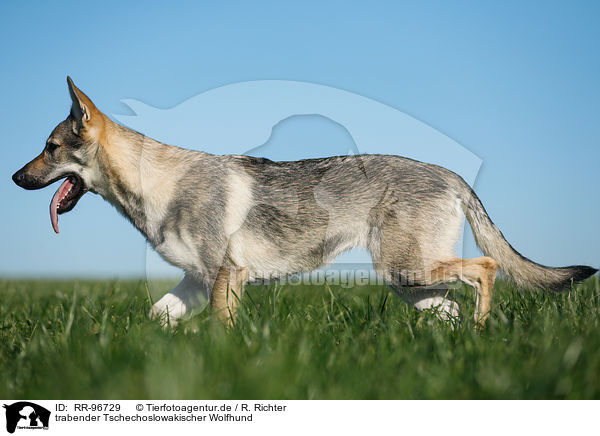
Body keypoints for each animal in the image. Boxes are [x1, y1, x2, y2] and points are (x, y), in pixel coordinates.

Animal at [11, 76, 596, 326]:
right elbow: (151, 319)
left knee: (487, 268)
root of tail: (446, 172)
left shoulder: (225, 277)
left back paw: (480, 333)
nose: (14, 177)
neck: (156, 185)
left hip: (408, 271)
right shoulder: (197, 282)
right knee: (455, 306)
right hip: (411, 284)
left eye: (49, 148)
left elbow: (222, 334)